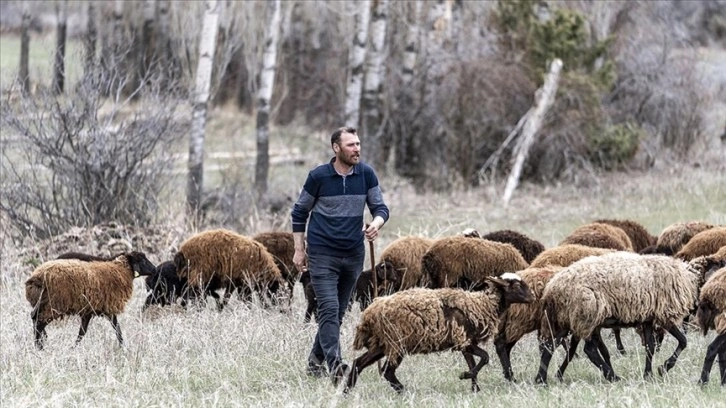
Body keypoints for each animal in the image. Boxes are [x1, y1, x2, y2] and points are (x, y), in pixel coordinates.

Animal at [24, 250, 157, 350]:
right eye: (142, 260)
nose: (155, 269)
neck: (121, 270)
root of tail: (37, 277)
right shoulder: (109, 308)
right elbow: (117, 329)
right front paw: (123, 347)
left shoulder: (88, 311)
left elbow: (82, 332)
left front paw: (74, 348)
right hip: (54, 305)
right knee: (39, 323)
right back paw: (40, 347)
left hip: (42, 304)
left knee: (34, 318)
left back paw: (41, 342)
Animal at [346, 272, 536, 394]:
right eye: (516, 285)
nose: (533, 297)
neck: (482, 305)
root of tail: (370, 313)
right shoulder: (464, 341)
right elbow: (485, 357)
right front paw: (465, 376)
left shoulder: (464, 343)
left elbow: (473, 362)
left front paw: (474, 388)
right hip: (396, 343)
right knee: (387, 371)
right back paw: (403, 391)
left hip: (382, 344)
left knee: (358, 363)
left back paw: (347, 392)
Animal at [536, 252, 716, 382]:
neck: (689, 279)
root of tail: (552, 288)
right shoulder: (664, 314)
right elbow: (683, 341)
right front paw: (664, 367)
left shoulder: (648, 318)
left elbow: (650, 347)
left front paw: (648, 374)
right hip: (587, 316)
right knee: (589, 350)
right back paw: (613, 376)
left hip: (567, 319)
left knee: (550, 346)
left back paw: (542, 379)